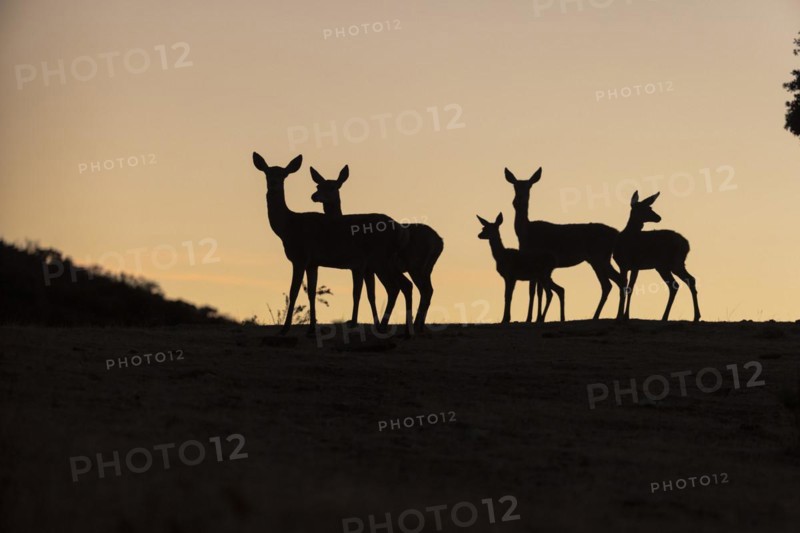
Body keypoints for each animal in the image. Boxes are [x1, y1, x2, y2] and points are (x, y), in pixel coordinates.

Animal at [251, 151, 413, 337]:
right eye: (267, 173)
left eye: (284, 174)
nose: (274, 183)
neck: (288, 227)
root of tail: (401, 231)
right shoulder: (312, 262)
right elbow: (311, 293)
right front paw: (311, 329)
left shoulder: (300, 257)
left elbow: (294, 292)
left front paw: (285, 329)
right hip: (388, 261)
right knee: (405, 285)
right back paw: (404, 330)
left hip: (379, 259)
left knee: (394, 287)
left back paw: (384, 327)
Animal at [310, 165, 444, 332]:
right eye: (318, 186)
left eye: (333, 187)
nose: (314, 196)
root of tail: (440, 242)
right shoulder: (368, 269)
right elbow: (370, 294)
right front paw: (373, 321)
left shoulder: (360, 265)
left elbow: (357, 293)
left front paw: (354, 322)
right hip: (423, 268)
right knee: (425, 290)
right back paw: (416, 326)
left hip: (412, 265)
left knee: (416, 289)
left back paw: (410, 325)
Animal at [505, 167, 625, 321]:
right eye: (515, 186)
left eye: (529, 186)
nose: (519, 199)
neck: (526, 234)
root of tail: (616, 234)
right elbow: (537, 291)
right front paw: (536, 318)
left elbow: (534, 290)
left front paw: (530, 319)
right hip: (598, 259)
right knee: (610, 284)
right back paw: (605, 315)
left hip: (599, 257)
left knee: (614, 282)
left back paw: (611, 316)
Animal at [613, 191, 700, 321]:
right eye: (646, 208)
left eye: (650, 207)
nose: (658, 217)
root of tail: (687, 244)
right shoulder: (626, 266)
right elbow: (626, 288)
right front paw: (621, 316)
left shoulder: (632, 265)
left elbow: (628, 288)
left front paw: (623, 316)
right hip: (666, 266)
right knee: (683, 282)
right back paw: (689, 316)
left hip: (673, 263)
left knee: (682, 282)